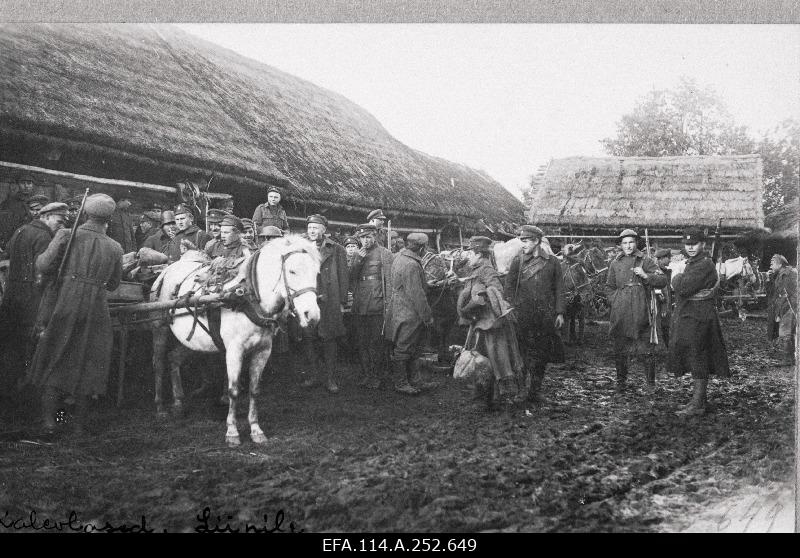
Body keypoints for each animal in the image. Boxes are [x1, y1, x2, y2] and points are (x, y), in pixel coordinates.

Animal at [152, 235, 320, 446]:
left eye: (316, 273)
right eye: (292, 271)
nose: (312, 315)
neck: (248, 297)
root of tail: (169, 268)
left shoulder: (263, 350)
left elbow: (255, 390)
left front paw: (256, 430)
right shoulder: (234, 350)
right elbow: (233, 391)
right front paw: (232, 432)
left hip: (191, 340)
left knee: (174, 358)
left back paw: (178, 403)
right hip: (160, 328)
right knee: (159, 363)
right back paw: (160, 407)